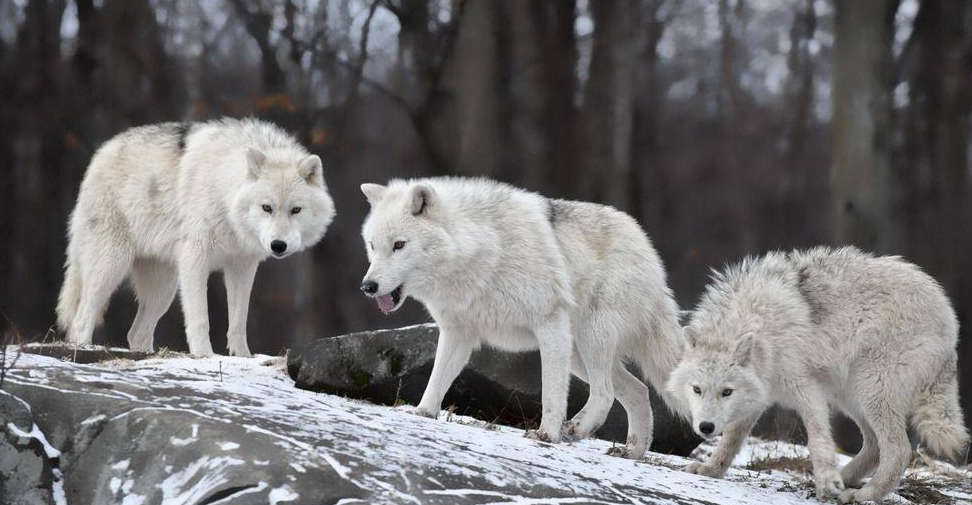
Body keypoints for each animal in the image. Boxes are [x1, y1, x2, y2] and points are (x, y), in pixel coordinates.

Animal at [58, 117, 338, 356]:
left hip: (164, 288)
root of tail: (101, 152)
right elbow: (200, 318)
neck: (224, 191)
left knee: (136, 333)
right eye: (266, 208)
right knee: (81, 320)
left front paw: (243, 357)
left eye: (296, 210)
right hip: (111, 267)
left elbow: (238, 321)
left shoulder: (242, 266)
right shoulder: (195, 259)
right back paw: (83, 348)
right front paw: (204, 355)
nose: (278, 245)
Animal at [356, 177, 684, 456]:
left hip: (589, 339)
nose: (367, 286)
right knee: (638, 390)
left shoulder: (550, 325)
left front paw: (546, 435)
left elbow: (551, 393)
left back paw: (575, 430)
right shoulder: (458, 333)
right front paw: (423, 413)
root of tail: (646, 246)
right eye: (372, 245)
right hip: (578, 353)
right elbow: (437, 379)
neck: (482, 251)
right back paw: (632, 452)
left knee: (605, 394)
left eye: (399, 245)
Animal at [664, 246, 968, 502]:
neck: (760, 325)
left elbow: (818, 438)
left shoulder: (806, 387)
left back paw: (863, 494)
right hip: (851, 395)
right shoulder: (759, 394)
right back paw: (844, 480)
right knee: (874, 447)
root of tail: (950, 317)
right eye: (697, 389)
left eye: (726, 392)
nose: (705, 427)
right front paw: (711, 469)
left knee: (899, 450)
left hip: (870, 390)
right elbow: (732, 439)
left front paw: (828, 483)